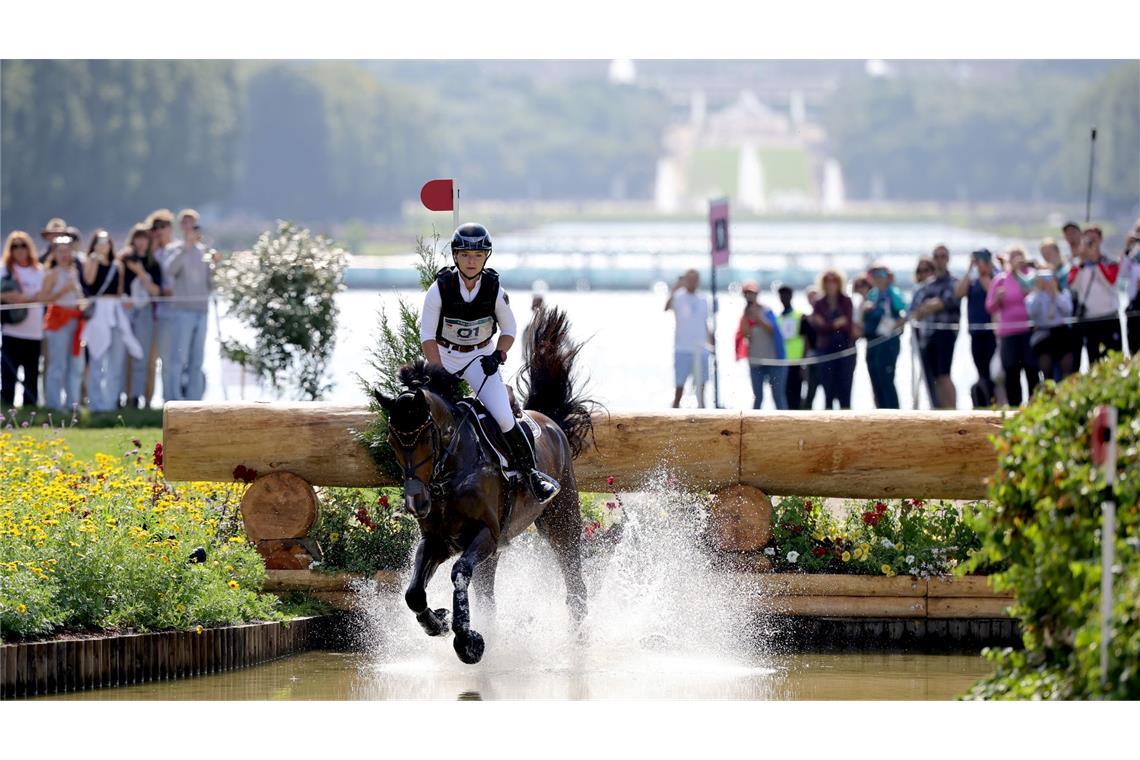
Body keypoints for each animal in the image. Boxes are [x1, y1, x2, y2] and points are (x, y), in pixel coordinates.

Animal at [371, 305, 597, 660]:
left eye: (426, 438)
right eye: (393, 440)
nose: (417, 503)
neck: (450, 474)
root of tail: (549, 420)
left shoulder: (486, 534)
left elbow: (458, 574)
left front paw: (468, 640)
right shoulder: (438, 539)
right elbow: (414, 592)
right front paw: (438, 623)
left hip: (561, 520)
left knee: (573, 576)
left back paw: (577, 637)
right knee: (488, 594)